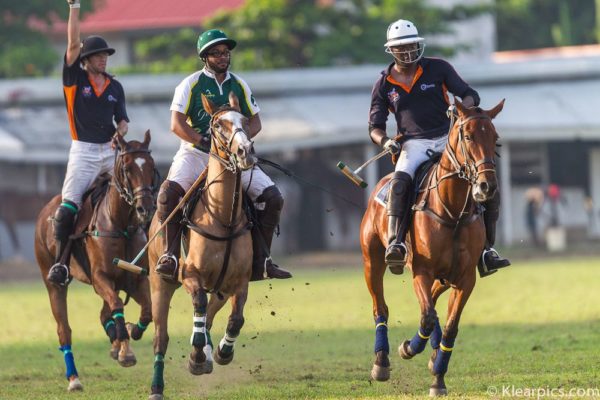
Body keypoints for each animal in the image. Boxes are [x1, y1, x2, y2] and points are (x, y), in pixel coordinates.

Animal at [33, 132, 157, 390]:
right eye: (127, 168)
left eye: (151, 166)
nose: (145, 207)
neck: (120, 224)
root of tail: (45, 211)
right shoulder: (101, 277)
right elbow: (118, 306)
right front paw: (125, 350)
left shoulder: (134, 279)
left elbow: (147, 311)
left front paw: (129, 335)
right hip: (52, 281)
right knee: (64, 329)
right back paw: (74, 378)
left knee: (104, 314)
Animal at [148, 91, 255, 400]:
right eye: (218, 125)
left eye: (245, 121)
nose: (245, 152)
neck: (222, 217)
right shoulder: (190, 276)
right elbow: (198, 303)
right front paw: (197, 357)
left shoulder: (239, 281)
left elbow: (235, 320)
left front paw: (220, 352)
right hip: (160, 284)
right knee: (161, 337)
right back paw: (157, 387)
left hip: (219, 288)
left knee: (208, 318)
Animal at [360, 98, 506, 396]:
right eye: (468, 136)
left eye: (494, 137)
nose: (487, 186)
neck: (453, 211)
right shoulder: (422, 271)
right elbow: (427, 317)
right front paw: (408, 348)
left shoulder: (465, 278)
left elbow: (449, 327)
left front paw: (438, 378)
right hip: (372, 261)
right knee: (380, 306)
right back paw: (381, 361)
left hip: (446, 274)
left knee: (436, 300)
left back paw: (432, 353)